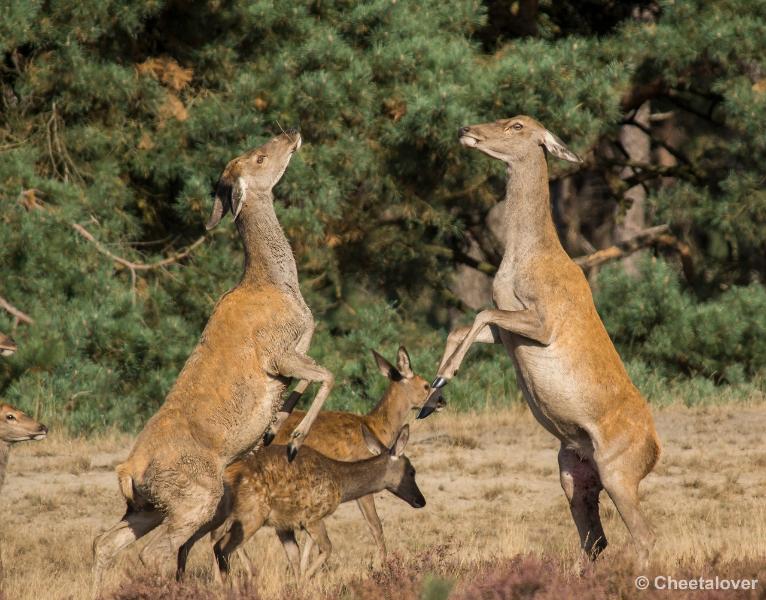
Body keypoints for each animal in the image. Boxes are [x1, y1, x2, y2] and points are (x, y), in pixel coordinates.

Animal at [91, 130, 336, 596]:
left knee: (104, 542)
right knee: (155, 551)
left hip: (148, 505)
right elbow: (329, 373)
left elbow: (302, 386)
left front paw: (276, 429)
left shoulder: (295, 351)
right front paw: (294, 441)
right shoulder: (277, 351)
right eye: (259, 157)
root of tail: (128, 471)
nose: (291, 134)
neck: (278, 285)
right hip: (194, 495)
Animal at [416, 116, 664, 568]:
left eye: (517, 125)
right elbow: (462, 326)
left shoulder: (545, 322)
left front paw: (441, 381)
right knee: (595, 539)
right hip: (573, 470)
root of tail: (655, 453)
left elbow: (479, 314)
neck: (522, 260)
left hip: (619, 470)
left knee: (644, 536)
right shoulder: (508, 328)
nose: (465, 129)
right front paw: (429, 398)